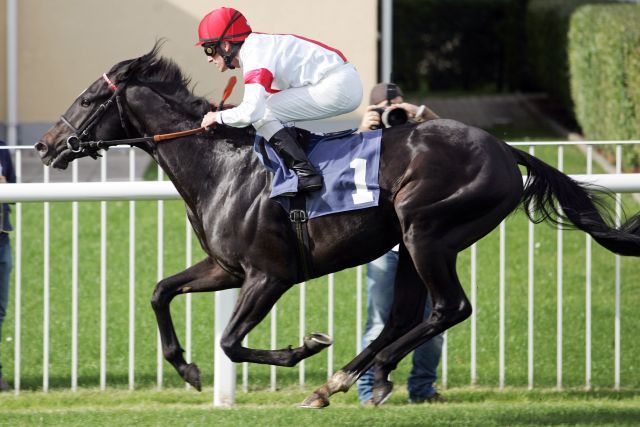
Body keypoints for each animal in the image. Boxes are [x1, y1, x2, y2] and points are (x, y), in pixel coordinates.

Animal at [36, 45, 640, 410]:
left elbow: (232, 341)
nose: (44, 145)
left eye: (88, 99)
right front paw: (186, 368)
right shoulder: (227, 267)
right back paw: (346, 380)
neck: (220, 165)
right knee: (404, 316)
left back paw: (354, 375)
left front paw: (306, 346)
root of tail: (504, 149)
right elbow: (161, 291)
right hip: (409, 243)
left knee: (449, 308)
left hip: (427, 233)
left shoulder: (269, 275)